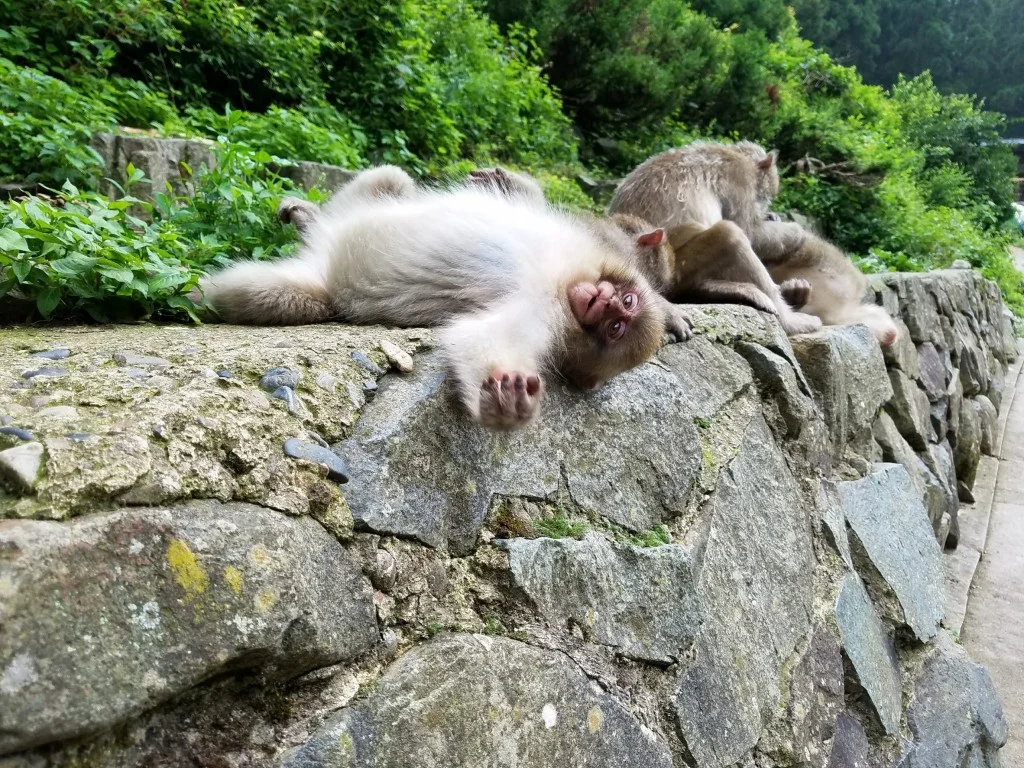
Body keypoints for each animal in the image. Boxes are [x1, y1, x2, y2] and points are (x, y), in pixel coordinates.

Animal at [201, 165, 691, 430]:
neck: (564, 280)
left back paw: (202, 290)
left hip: (316, 279)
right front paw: (505, 180)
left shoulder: (545, 309)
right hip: (355, 209)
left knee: (272, 295)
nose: (605, 302)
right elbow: (531, 203)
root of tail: (324, 242)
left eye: (615, 328)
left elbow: (483, 339)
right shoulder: (582, 244)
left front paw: (504, 405)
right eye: (625, 305)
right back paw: (307, 215)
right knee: (390, 178)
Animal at [609, 141, 899, 346]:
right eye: (766, 194)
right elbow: (752, 232)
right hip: (679, 267)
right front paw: (796, 232)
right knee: (731, 233)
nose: (768, 207)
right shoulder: (739, 180)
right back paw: (789, 319)